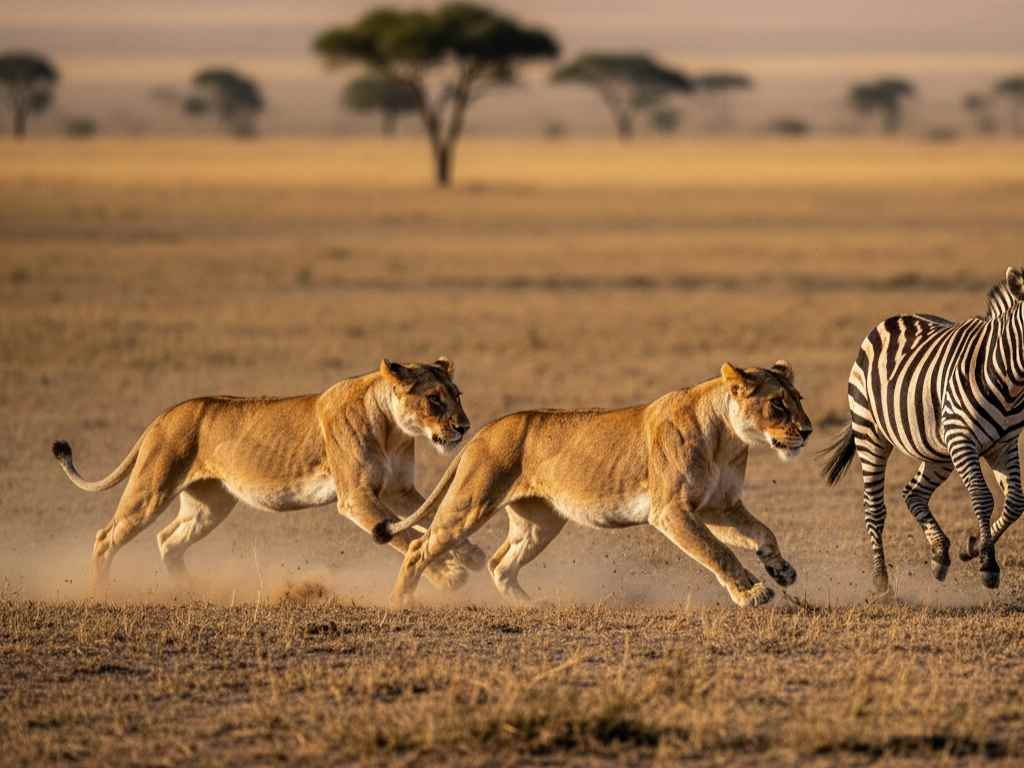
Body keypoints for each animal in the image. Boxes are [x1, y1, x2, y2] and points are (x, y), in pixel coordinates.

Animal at [822, 267, 1024, 593]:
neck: (1008, 380)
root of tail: (892, 319)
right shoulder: (963, 439)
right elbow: (983, 497)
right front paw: (988, 565)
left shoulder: (1003, 444)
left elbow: (1015, 502)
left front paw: (973, 548)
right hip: (870, 432)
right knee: (874, 507)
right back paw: (881, 579)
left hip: (937, 450)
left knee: (913, 493)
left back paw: (940, 553)